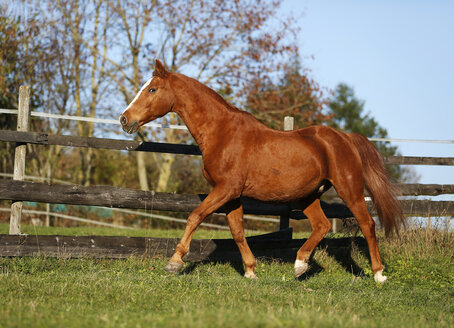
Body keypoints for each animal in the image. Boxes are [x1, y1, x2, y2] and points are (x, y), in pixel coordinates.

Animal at [119, 60, 402, 284]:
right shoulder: (232, 196)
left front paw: (175, 262)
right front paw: (250, 271)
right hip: (308, 195)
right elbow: (237, 231)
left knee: (367, 224)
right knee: (321, 225)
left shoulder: (226, 189)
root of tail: (345, 137)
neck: (222, 132)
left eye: (152, 89)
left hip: (349, 189)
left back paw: (378, 274)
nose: (124, 119)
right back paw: (300, 266)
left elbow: (195, 216)